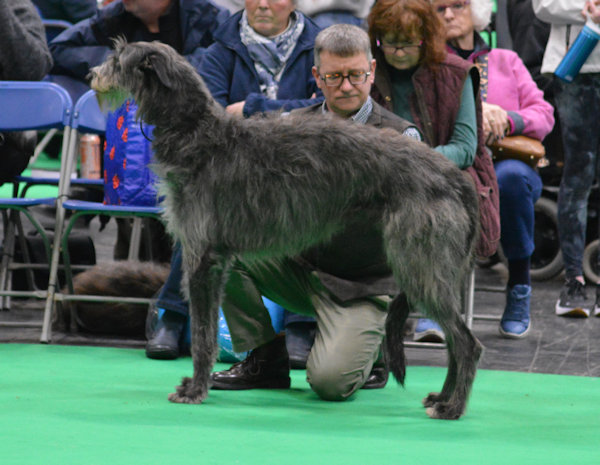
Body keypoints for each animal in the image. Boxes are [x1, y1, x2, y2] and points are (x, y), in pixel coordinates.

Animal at [90, 39, 482, 416]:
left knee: (467, 342)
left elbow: (202, 334)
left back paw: (452, 407)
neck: (196, 130)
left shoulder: (202, 257)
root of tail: (454, 176)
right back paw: (442, 397)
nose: (92, 74)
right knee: (455, 339)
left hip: (420, 264)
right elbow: (208, 329)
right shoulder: (218, 258)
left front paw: (195, 389)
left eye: (117, 58)